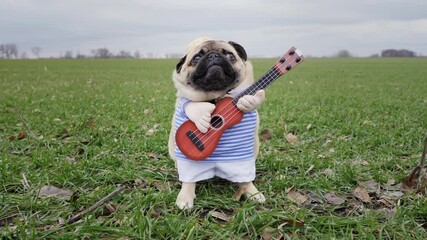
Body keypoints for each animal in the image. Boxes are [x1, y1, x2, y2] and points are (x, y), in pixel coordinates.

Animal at [169, 36, 266, 209]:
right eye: (197, 58)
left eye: (230, 55)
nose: (213, 56)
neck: (215, 95)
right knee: (188, 177)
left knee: (245, 177)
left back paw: (251, 191)